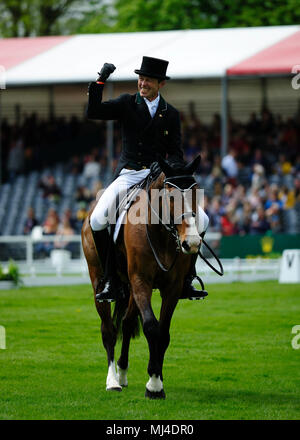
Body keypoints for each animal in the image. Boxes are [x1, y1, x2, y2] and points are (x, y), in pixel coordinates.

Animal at [81, 156, 205, 398]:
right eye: (170, 196)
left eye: (196, 193)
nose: (192, 243)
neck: (161, 233)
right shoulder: (141, 281)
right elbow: (151, 327)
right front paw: (154, 386)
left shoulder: (172, 287)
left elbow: (163, 333)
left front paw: (157, 379)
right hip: (99, 280)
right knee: (109, 330)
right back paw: (113, 381)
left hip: (130, 288)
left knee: (127, 323)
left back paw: (122, 373)